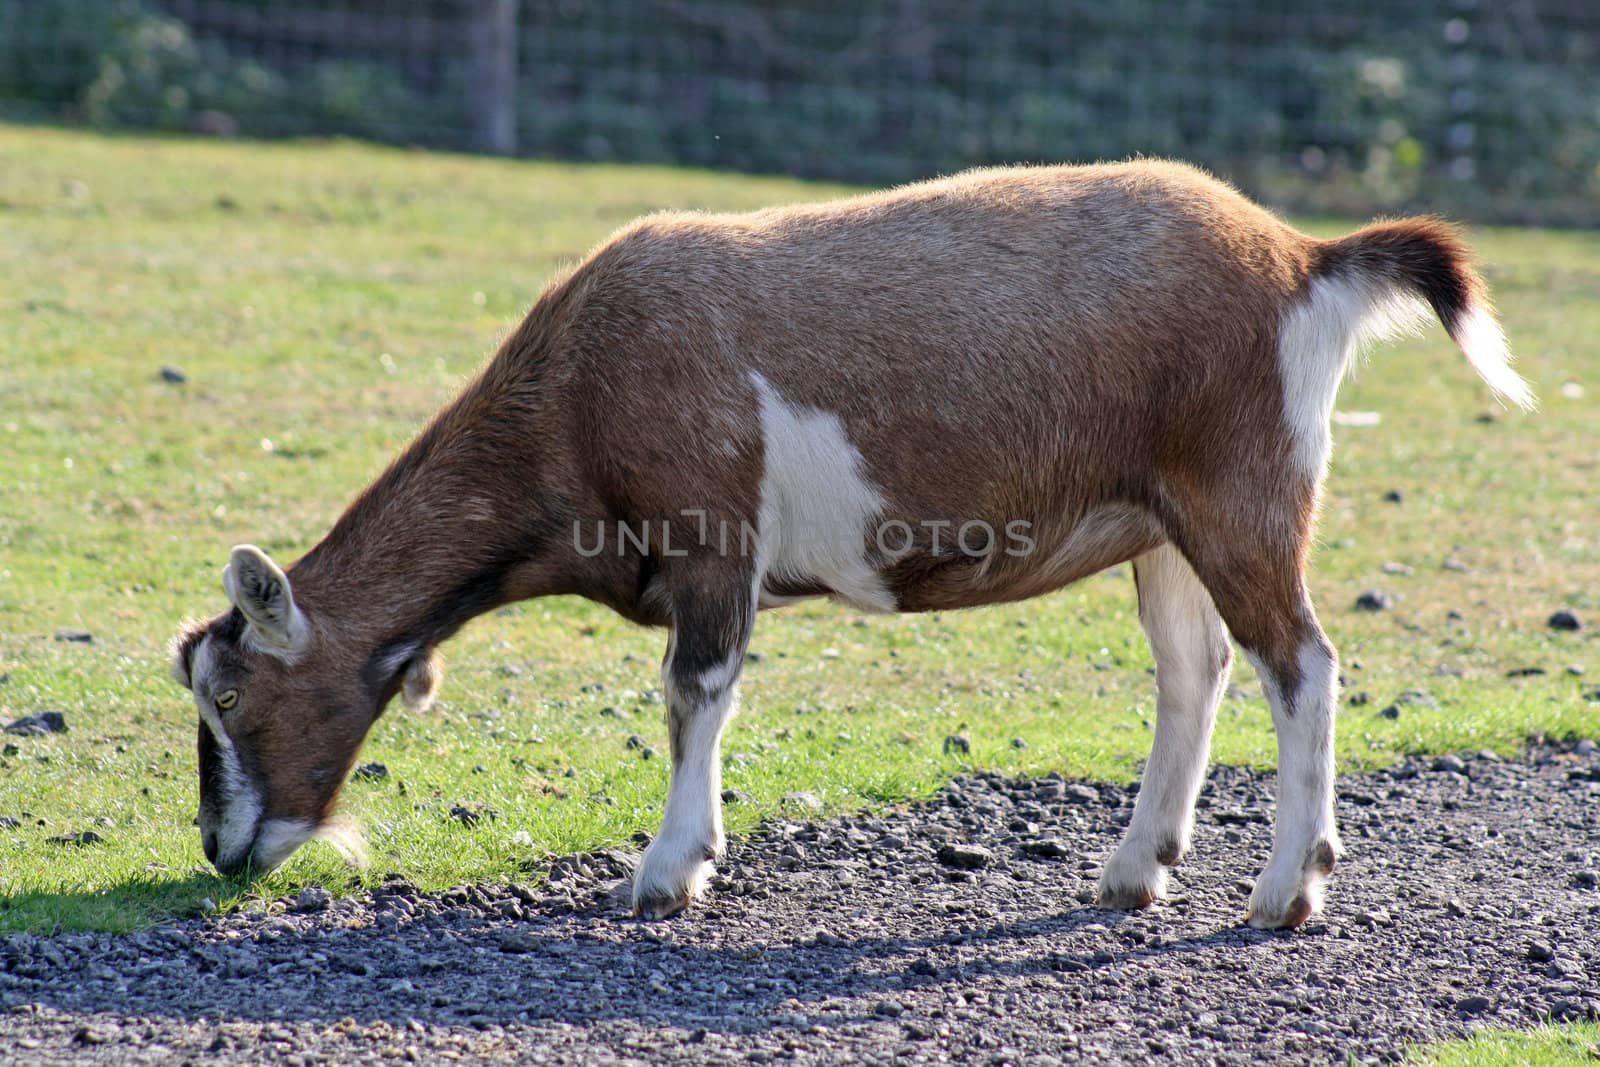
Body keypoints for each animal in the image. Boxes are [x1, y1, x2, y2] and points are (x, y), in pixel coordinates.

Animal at [168, 158, 1529, 927]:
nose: (221, 848)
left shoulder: (711, 538)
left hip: (1241, 492)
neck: (570, 397)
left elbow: (691, 693)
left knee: (1301, 664)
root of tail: (1300, 258)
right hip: (1161, 520)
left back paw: (1285, 889)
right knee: (1192, 671)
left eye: (229, 693)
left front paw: (667, 870)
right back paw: (1132, 867)